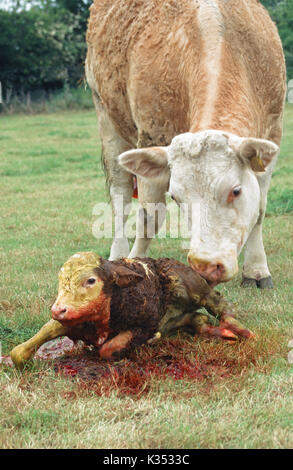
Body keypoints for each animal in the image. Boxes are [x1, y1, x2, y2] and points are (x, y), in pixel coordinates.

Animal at [10, 252, 253, 370]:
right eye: (61, 281)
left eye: (90, 280)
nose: (58, 309)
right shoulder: (71, 322)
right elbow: (23, 348)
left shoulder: (145, 325)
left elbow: (109, 349)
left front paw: (148, 341)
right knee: (199, 318)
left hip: (193, 287)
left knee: (221, 305)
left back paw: (236, 329)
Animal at [84, 0, 286, 288]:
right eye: (176, 197)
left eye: (235, 191)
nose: (206, 266)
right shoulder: (150, 138)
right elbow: (149, 217)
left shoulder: (273, 130)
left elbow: (258, 210)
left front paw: (256, 269)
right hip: (106, 116)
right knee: (120, 198)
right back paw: (118, 252)